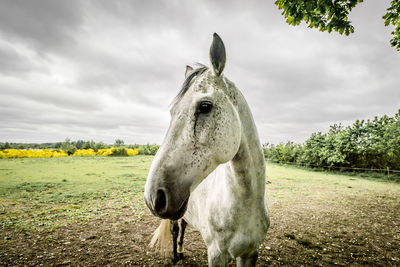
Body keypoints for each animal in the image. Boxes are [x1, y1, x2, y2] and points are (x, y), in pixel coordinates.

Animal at [144, 32, 268, 266]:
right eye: (172, 112)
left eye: (204, 106)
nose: (153, 197)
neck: (244, 204)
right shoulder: (216, 254)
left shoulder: (250, 253)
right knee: (175, 229)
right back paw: (175, 255)